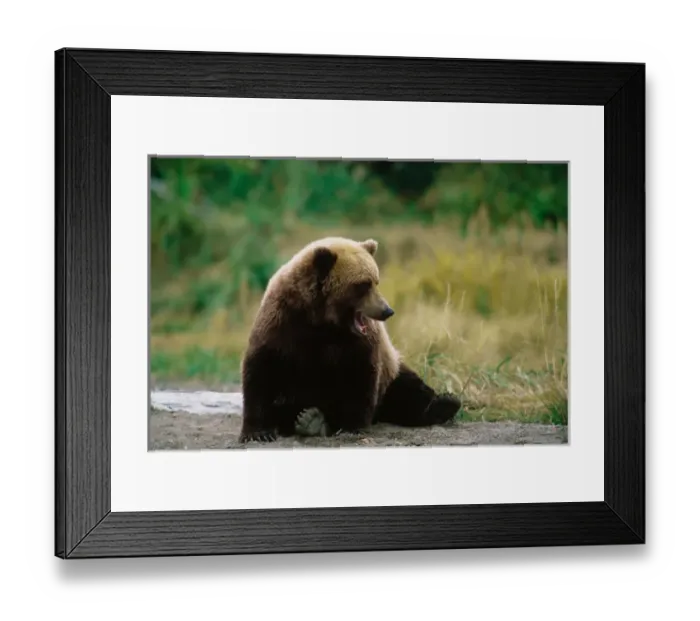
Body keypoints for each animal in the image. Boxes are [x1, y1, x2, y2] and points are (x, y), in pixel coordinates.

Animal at [238, 236, 462, 443]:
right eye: (363, 285)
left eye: (376, 281)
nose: (387, 311)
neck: (322, 321)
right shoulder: (283, 323)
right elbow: (261, 372)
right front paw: (257, 432)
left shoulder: (358, 343)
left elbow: (360, 376)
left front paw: (352, 427)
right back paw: (309, 419)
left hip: (391, 372)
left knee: (407, 391)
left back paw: (445, 403)